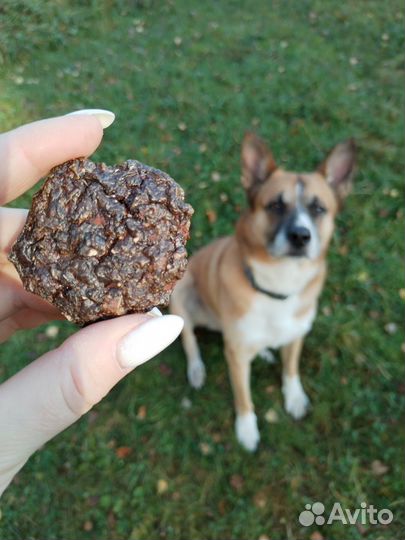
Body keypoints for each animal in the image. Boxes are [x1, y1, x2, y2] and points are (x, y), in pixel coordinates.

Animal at [169, 134, 356, 452]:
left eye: (318, 209)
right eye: (275, 206)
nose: (300, 236)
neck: (277, 287)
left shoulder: (296, 334)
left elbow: (291, 370)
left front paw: (294, 398)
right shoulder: (235, 357)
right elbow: (243, 397)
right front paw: (246, 430)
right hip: (181, 294)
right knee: (189, 338)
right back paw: (196, 369)